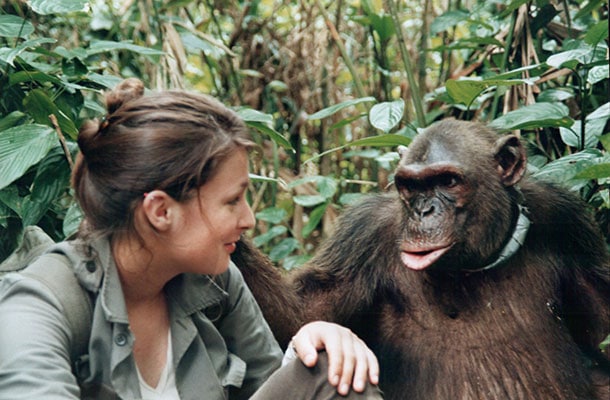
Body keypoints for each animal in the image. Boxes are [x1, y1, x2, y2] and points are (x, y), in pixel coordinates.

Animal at [235, 119, 604, 400]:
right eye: (410, 185)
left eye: (448, 181)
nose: (423, 210)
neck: (473, 265)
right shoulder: (362, 238)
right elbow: (303, 313)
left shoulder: (567, 222)